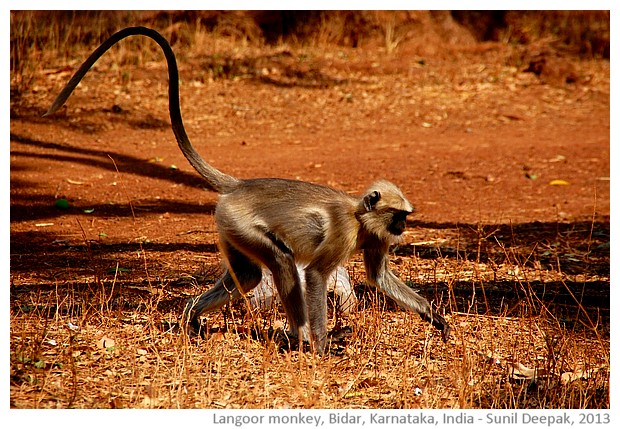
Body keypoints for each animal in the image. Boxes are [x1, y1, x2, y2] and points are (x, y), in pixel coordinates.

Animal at [44, 27, 450, 354]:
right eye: (398, 216)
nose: (402, 228)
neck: (360, 216)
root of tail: (240, 185)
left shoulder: (375, 236)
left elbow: (379, 279)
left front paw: (435, 317)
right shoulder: (344, 231)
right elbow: (316, 275)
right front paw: (320, 347)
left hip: (229, 229)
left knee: (250, 275)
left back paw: (192, 317)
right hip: (239, 223)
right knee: (283, 264)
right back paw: (304, 339)